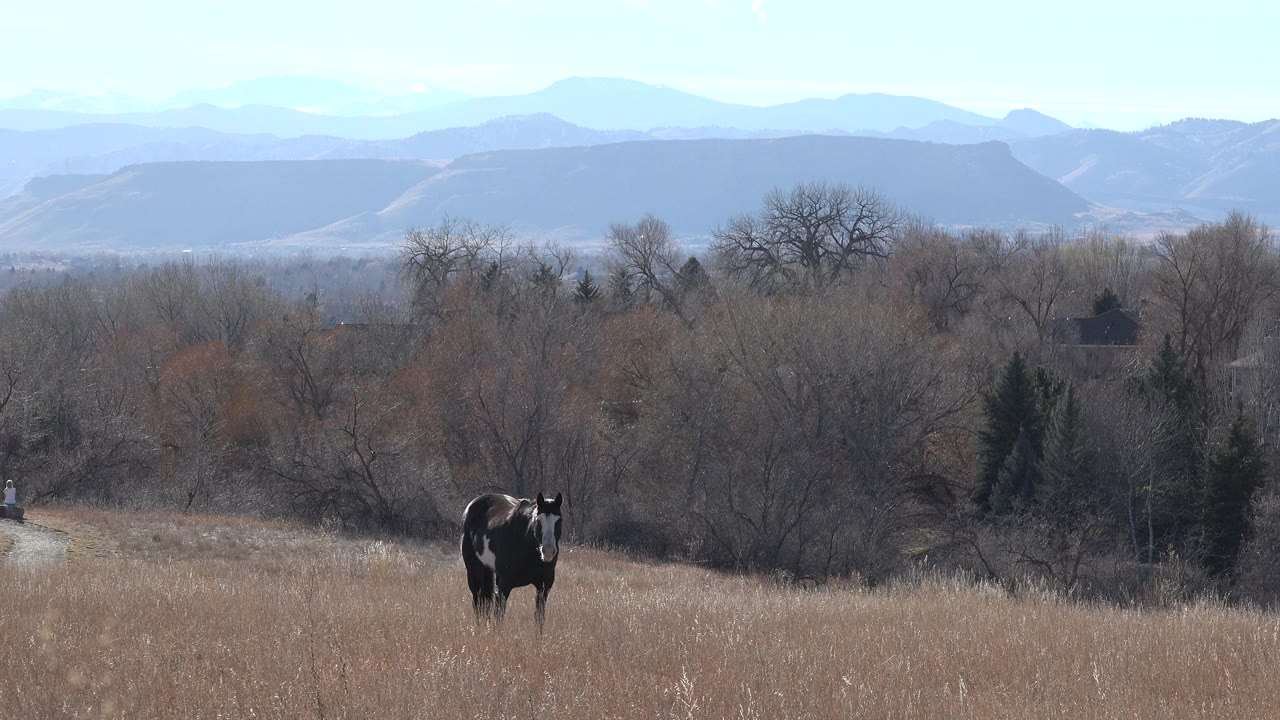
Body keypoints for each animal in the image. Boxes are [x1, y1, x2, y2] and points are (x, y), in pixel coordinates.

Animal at [461, 492, 563, 629]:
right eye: (538, 520)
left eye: (559, 520)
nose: (548, 551)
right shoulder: (504, 586)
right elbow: (498, 617)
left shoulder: (544, 586)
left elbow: (539, 618)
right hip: (474, 570)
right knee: (478, 602)